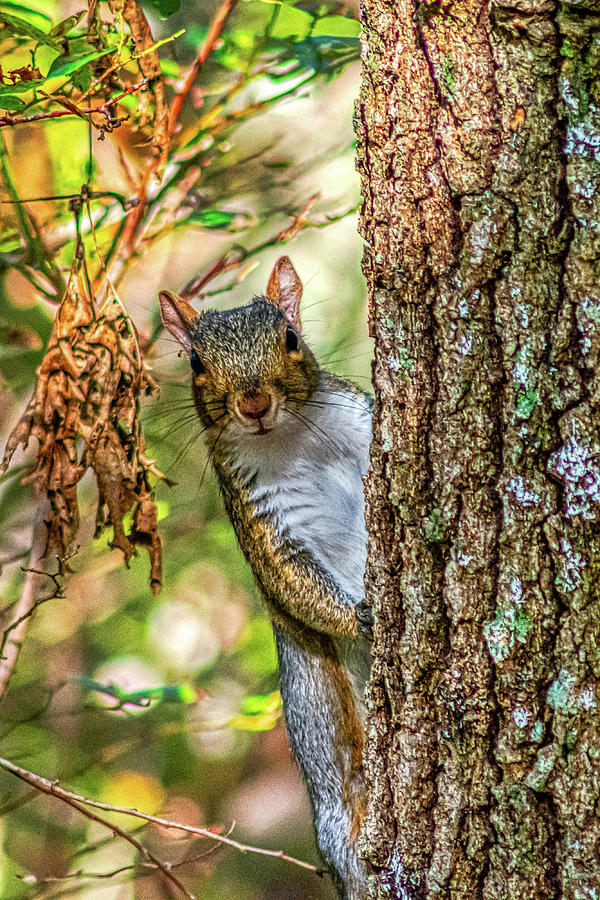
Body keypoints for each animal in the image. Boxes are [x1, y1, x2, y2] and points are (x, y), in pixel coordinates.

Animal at [162, 256, 372, 896]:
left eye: (291, 338)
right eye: (197, 363)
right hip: (318, 703)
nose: (253, 404)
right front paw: (364, 616)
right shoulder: (260, 517)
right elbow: (292, 584)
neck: (289, 440)